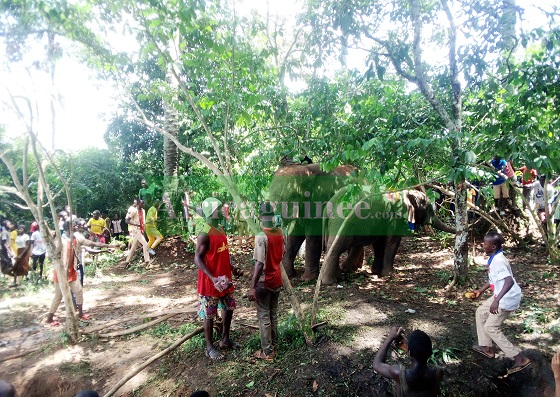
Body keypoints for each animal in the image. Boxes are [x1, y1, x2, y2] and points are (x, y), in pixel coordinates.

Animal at [320, 187, 456, 284]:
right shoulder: (394, 217)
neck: (403, 192)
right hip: (342, 223)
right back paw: (330, 282)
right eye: (427, 207)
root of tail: (329, 208)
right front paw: (391, 274)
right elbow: (392, 242)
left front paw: (376, 271)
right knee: (337, 248)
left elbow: (379, 244)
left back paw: (339, 276)